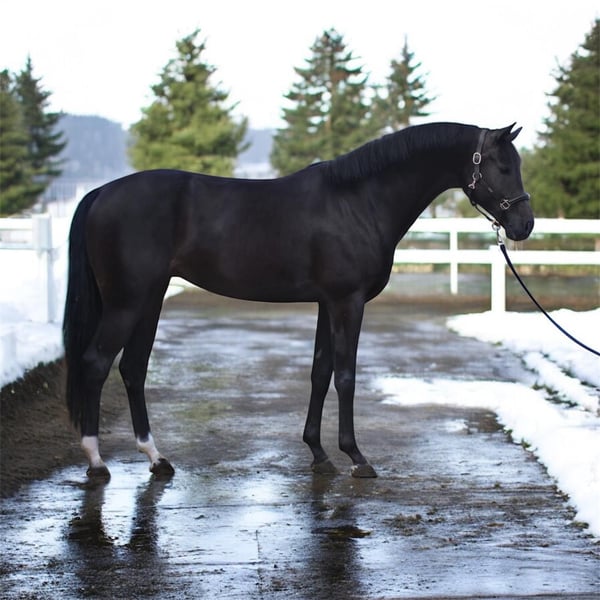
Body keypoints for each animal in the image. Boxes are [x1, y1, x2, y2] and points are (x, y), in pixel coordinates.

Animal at [63, 122, 534, 480]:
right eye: (503, 166)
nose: (524, 225)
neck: (358, 200)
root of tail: (99, 194)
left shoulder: (327, 303)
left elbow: (319, 372)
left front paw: (319, 454)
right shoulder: (348, 302)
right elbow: (345, 376)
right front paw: (356, 457)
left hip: (150, 299)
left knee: (133, 369)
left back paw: (156, 458)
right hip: (127, 302)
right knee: (96, 363)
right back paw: (96, 461)